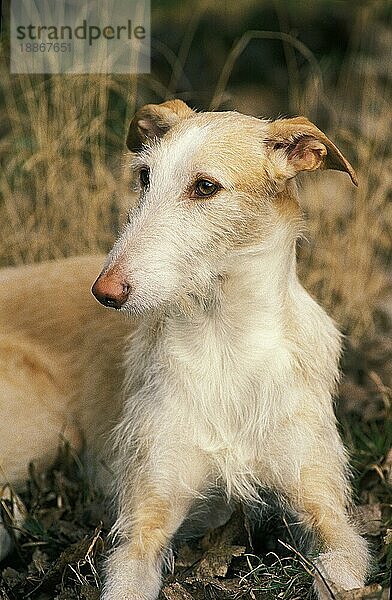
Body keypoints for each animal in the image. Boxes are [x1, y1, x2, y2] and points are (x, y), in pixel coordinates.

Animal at [0, 101, 368, 596]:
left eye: (206, 186)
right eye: (144, 177)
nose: (104, 292)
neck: (227, 346)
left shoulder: (328, 510)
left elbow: (343, 567)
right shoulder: (142, 526)